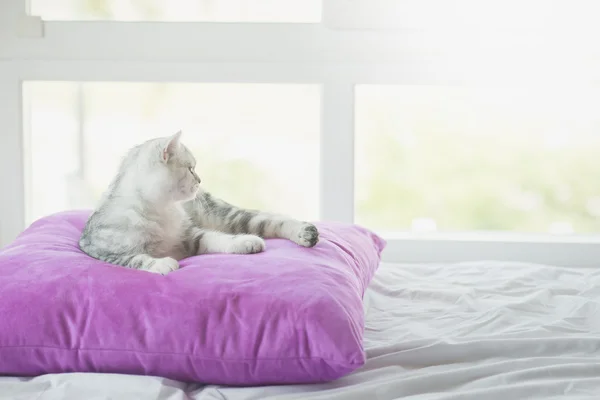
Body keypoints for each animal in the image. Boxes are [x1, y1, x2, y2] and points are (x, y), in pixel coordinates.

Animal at [83, 131, 324, 276]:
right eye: (190, 169)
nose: (200, 180)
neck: (162, 210)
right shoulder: (101, 250)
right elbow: (135, 259)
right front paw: (162, 263)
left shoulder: (190, 236)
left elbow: (218, 238)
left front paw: (246, 242)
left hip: (228, 215)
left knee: (273, 219)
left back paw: (305, 233)